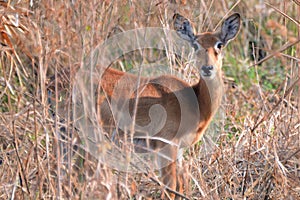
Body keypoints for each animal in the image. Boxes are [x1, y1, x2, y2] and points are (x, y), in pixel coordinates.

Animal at [96, 12, 241, 198]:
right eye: (195, 44)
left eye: (219, 44)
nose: (207, 68)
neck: (196, 102)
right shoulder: (167, 146)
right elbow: (170, 188)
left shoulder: (178, 150)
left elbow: (179, 186)